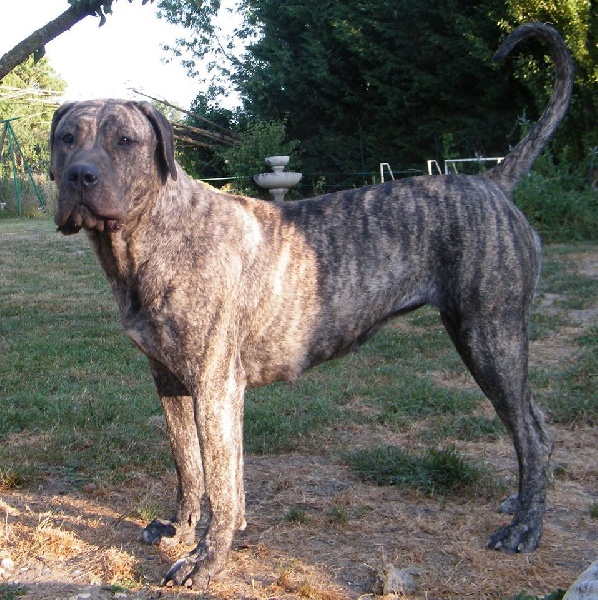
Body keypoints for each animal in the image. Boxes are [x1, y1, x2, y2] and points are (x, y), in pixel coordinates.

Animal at [51, 24, 576, 592]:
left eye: (125, 141)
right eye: (66, 138)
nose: (80, 176)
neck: (151, 237)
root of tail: (489, 180)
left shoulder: (214, 384)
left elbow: (221, 482)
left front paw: (206, 559)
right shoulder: (169, 377)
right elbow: (189, 464)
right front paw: (179, 527)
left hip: (489, 336)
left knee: (532, 433)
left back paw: (525, 528)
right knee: (533, 424)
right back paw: (520, 503)